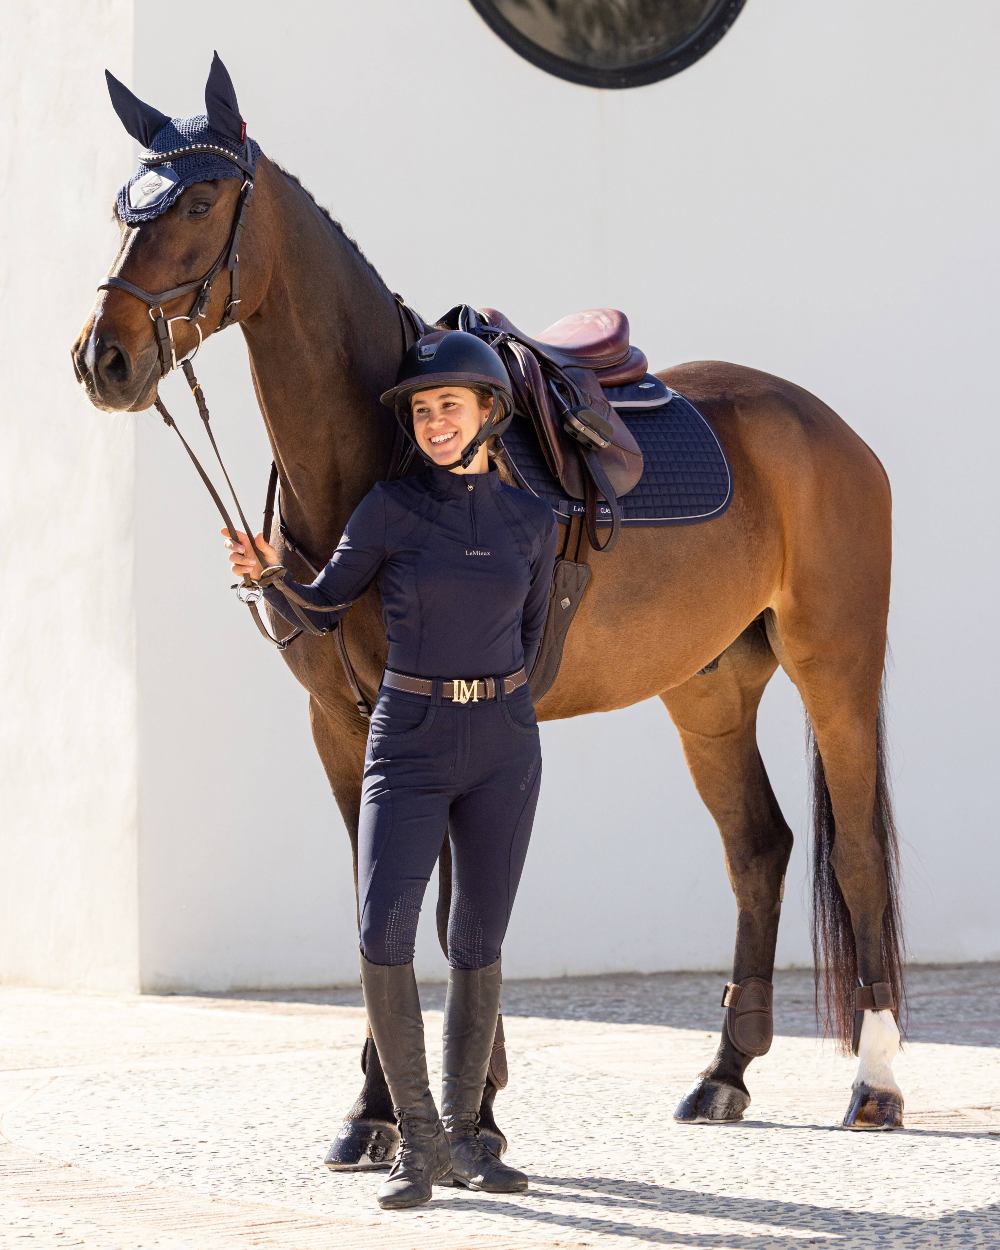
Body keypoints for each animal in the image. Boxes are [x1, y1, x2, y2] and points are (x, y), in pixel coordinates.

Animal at [72, 78, 905, 1165]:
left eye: (203, 203)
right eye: (121, 206)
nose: (104, 359)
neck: (381, 461)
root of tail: (825, 427)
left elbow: (451, 902)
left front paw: (474, 1113)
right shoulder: (342, 724)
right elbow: (379, 892)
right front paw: (376, 1112)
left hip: (834, 665)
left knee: (856, 853)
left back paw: (877, 1084)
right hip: (710, 690)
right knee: (758, 847)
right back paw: (723, 1073)